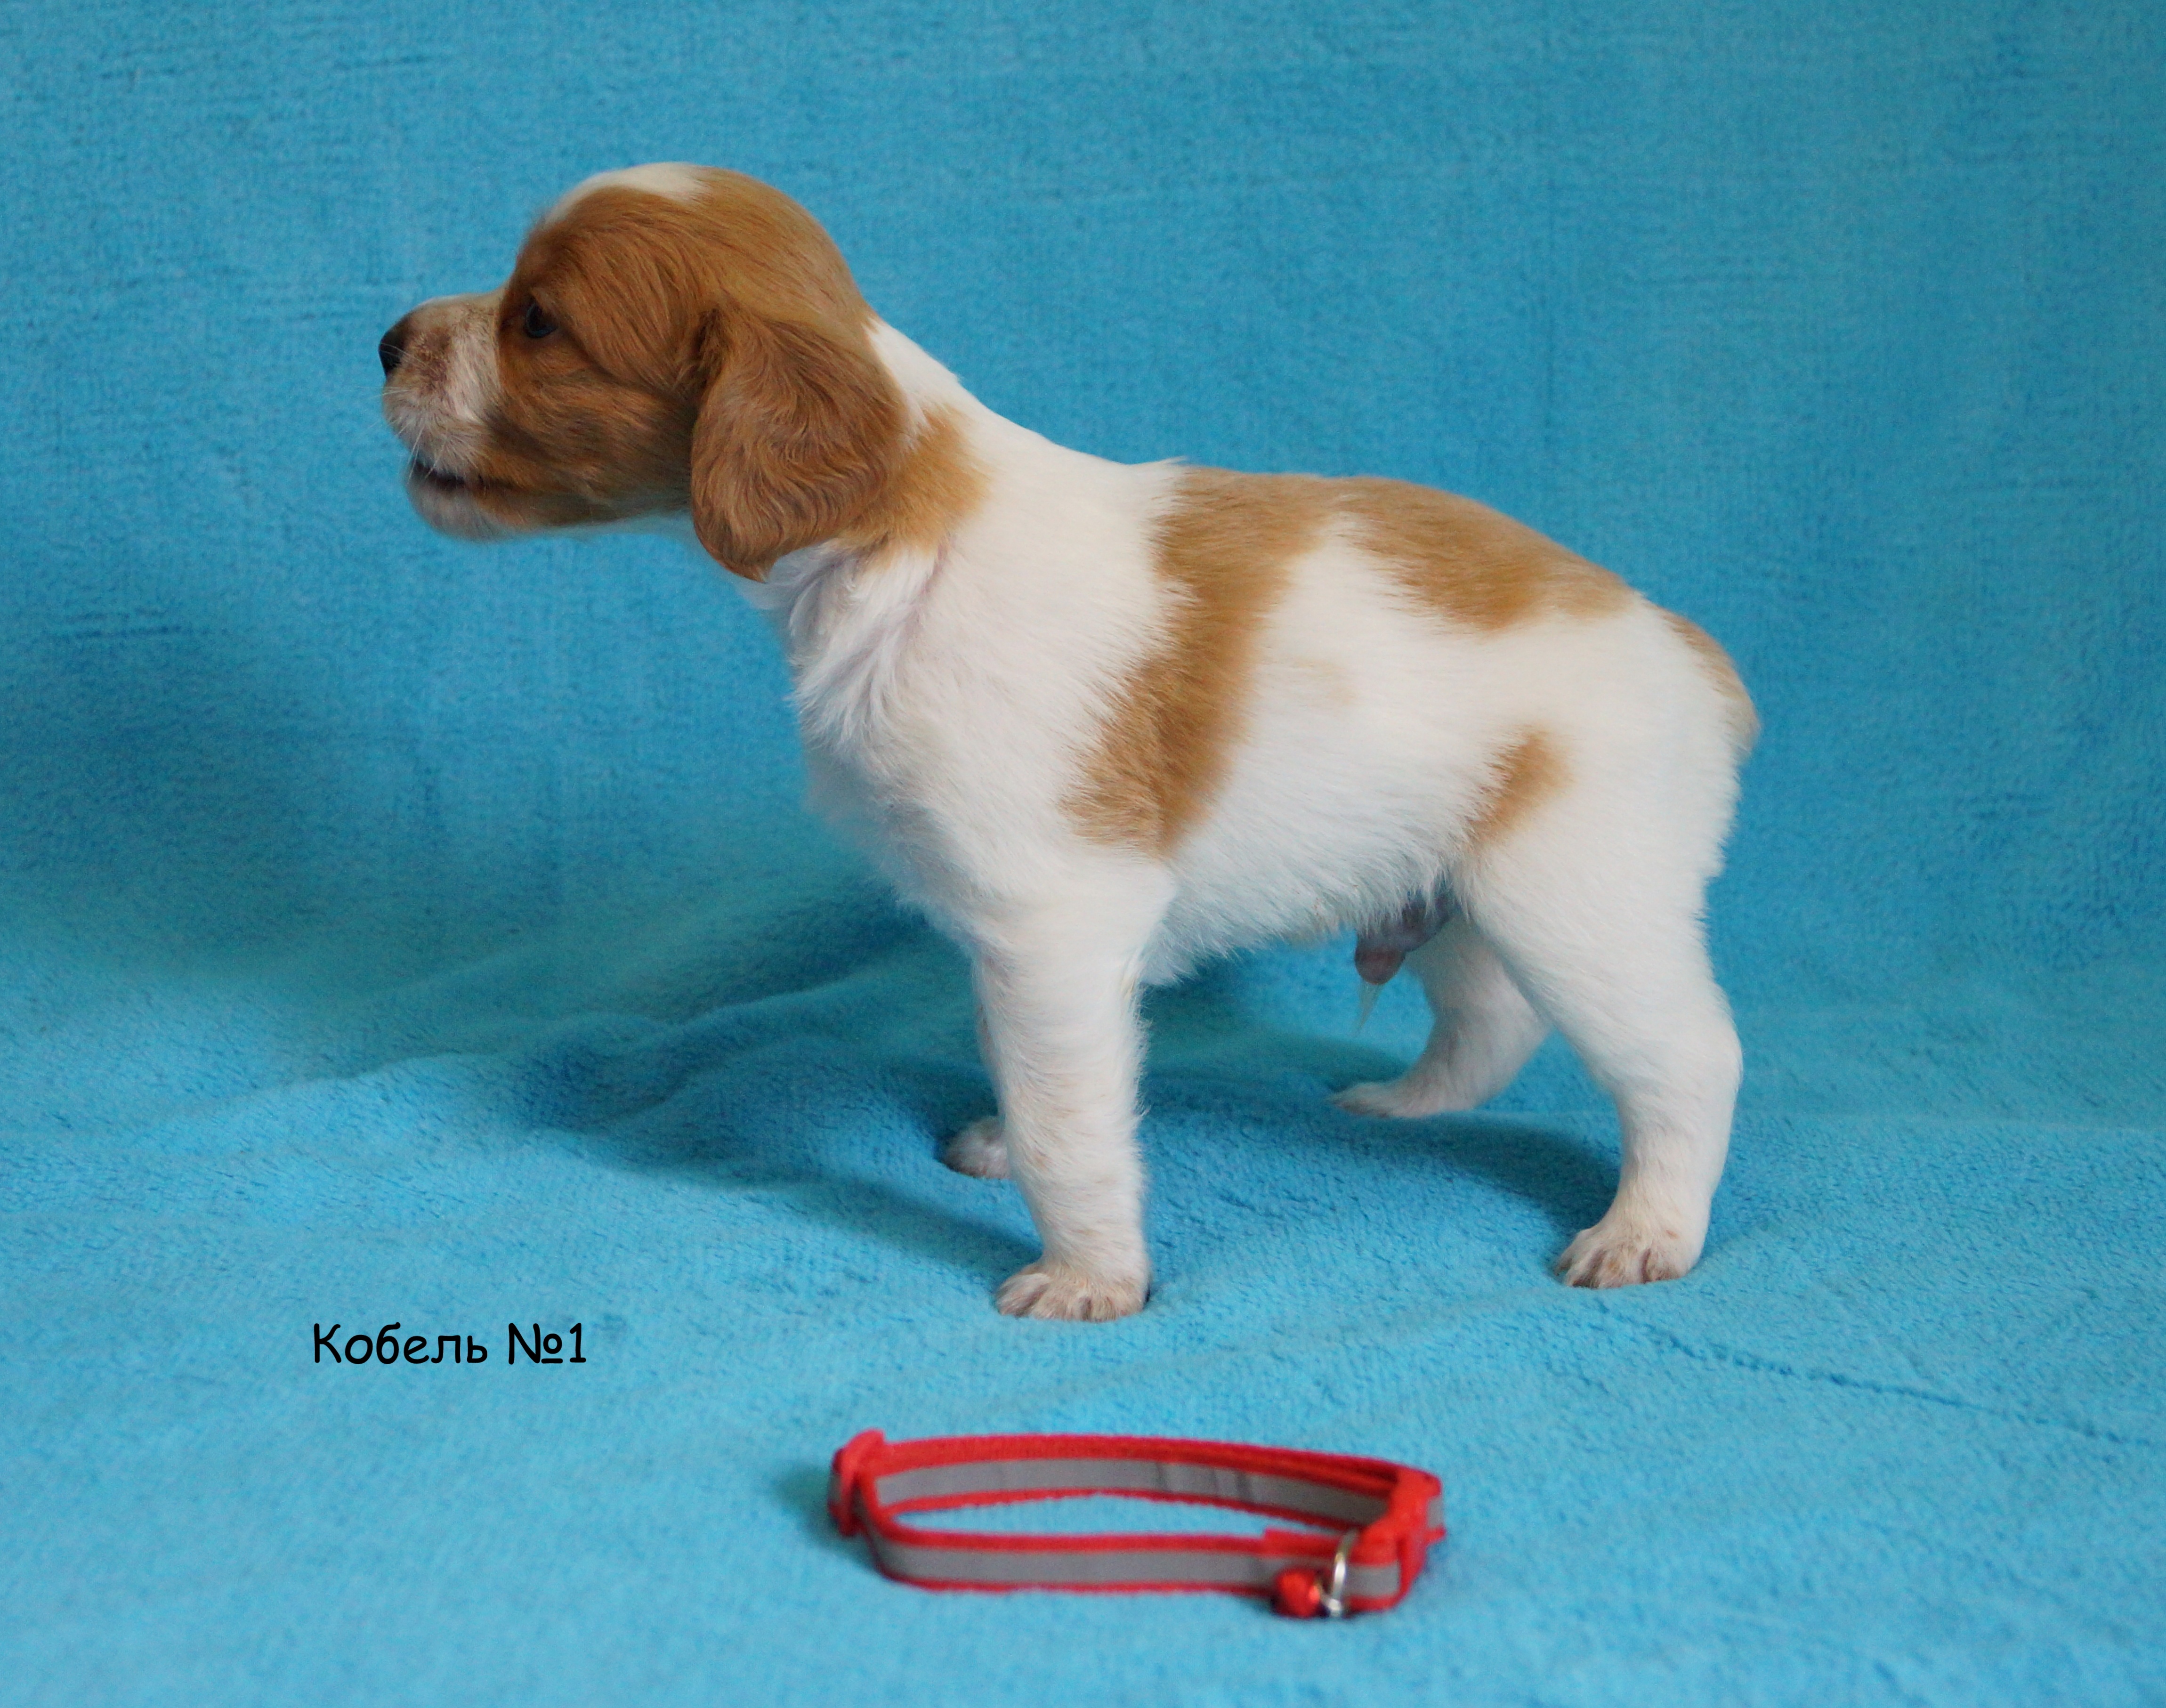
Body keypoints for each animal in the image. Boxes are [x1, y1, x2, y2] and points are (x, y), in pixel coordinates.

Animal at [380, 164, 1755, 1322]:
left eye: (539, 321)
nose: (387, 339)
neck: (899, 540)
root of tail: (1692, 652)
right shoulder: (1015, 939)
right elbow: (1022, 1062)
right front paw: (1000, 1151)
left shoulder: (1051, 916)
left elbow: (1065, 1113)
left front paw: (1090, 1275)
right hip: (1460, 886)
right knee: (1488, 1022)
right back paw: (1400, 1106)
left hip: (1575, 902)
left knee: (1688, 1058)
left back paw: (1645, 1231)